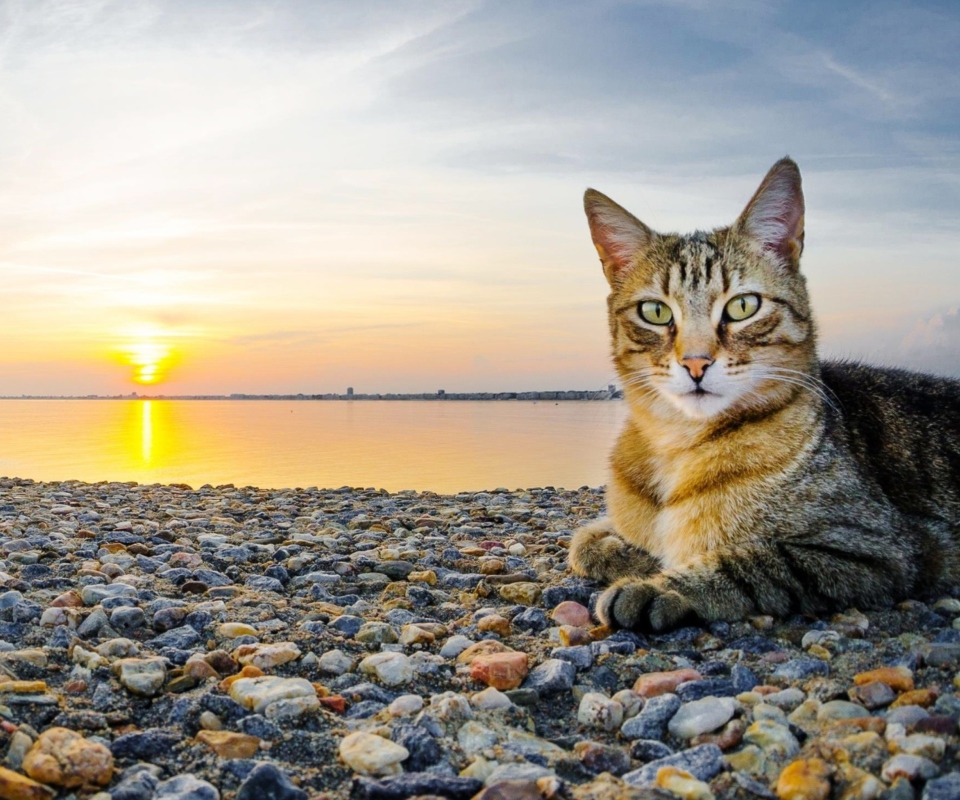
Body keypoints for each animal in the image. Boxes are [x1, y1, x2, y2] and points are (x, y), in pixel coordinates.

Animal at [568, 156, 960, 632]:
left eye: (743, 306)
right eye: (656, 312)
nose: (695, 362)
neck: (676, 442)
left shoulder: (882, 549)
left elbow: (755, 561)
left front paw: (661, 586)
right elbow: (585, 540)